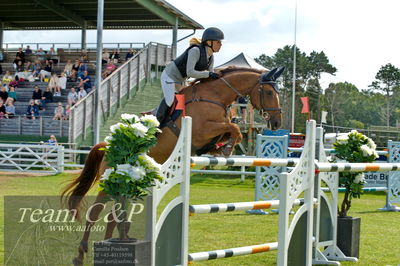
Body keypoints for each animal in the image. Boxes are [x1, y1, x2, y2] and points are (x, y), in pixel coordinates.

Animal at [63, 65, 284, 264]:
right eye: (269, 92)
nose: (276, 123)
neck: (215, 96)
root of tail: (106, 145)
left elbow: (232, 131)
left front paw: (225, 148)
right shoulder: (201, 131)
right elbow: (234, 128)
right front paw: (228, 149)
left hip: (128, 183)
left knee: (113, 215)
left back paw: (116, 244)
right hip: (110, 182)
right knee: (95, 212)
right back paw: (80, 255)